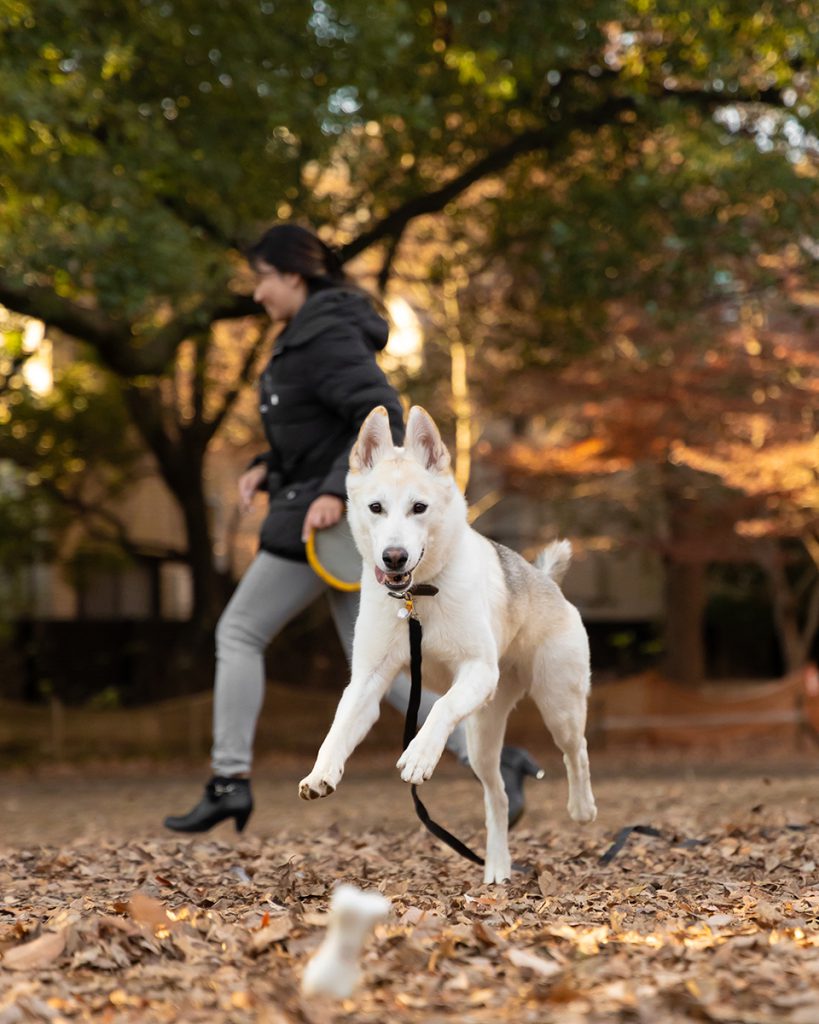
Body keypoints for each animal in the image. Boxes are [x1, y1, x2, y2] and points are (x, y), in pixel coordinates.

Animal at [298, 403, 593, 884]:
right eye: (376, 508)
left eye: (419, 507)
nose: (393, 557)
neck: (417, 597)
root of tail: (545, 578)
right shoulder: (367, 682)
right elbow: (337, 730)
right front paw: (321, 772)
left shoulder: (478, 671)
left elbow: (438, 710)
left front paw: (419, 755)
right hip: (482, 738)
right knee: (498, 797)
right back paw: (497, 869)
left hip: (558, 705)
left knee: (576, 751)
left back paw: (582, 807)